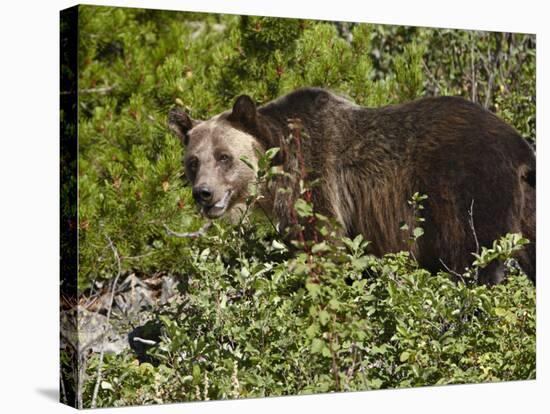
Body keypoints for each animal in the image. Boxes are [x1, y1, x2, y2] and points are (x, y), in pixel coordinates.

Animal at [169, 85, 540, 284]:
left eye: (224, 156)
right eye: (194, 161)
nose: (204, 194)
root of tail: (520, 147)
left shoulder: (314, 181)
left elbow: (322, 244)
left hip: (466, 192)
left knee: (472, 258)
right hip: (530, 202)